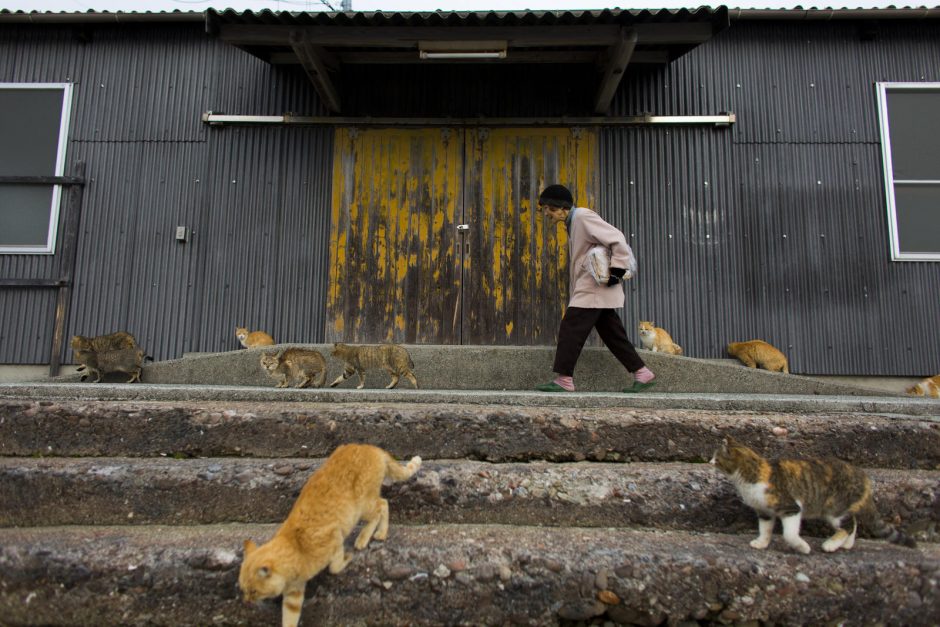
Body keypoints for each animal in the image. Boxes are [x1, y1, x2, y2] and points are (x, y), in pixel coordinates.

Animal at [239, 444, 422, 627]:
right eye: (244, 590)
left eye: (253, 591)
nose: (246, 601)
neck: (296, 546)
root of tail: (371, 447)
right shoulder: (293, 594)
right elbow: (289, 619)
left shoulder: (335, 537)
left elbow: (335, 567)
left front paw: (346, 558)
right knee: (383, 505)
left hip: (363, 505)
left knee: (382, 506)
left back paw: (372, 535)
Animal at [708, 436, 916, 556]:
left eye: (716, 458)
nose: (709, 461)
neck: (752, 473)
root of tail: (864, 478)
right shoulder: (765, 511)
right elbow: (765, 529)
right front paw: (761, 543)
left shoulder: (791, 507)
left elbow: (789, 534)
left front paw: (803, 548)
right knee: (853, 523)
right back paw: (846, 545)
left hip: (835, 507)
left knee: (847, 526)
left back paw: (830, 545)